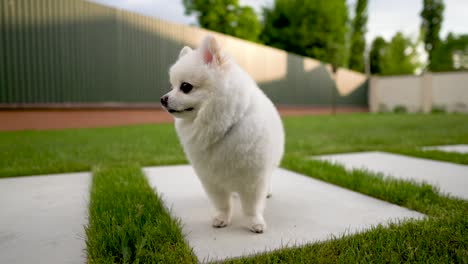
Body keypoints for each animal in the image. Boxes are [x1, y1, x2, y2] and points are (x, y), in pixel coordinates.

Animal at [163, 35, 284, 233]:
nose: (163, 99)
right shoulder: (211, 179)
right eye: (172, 86)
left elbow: (251, 206)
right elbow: (222, 204)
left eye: (185, 87)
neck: (222, 127)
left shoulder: (254, 179)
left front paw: (254, 222)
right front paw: (222, 218)